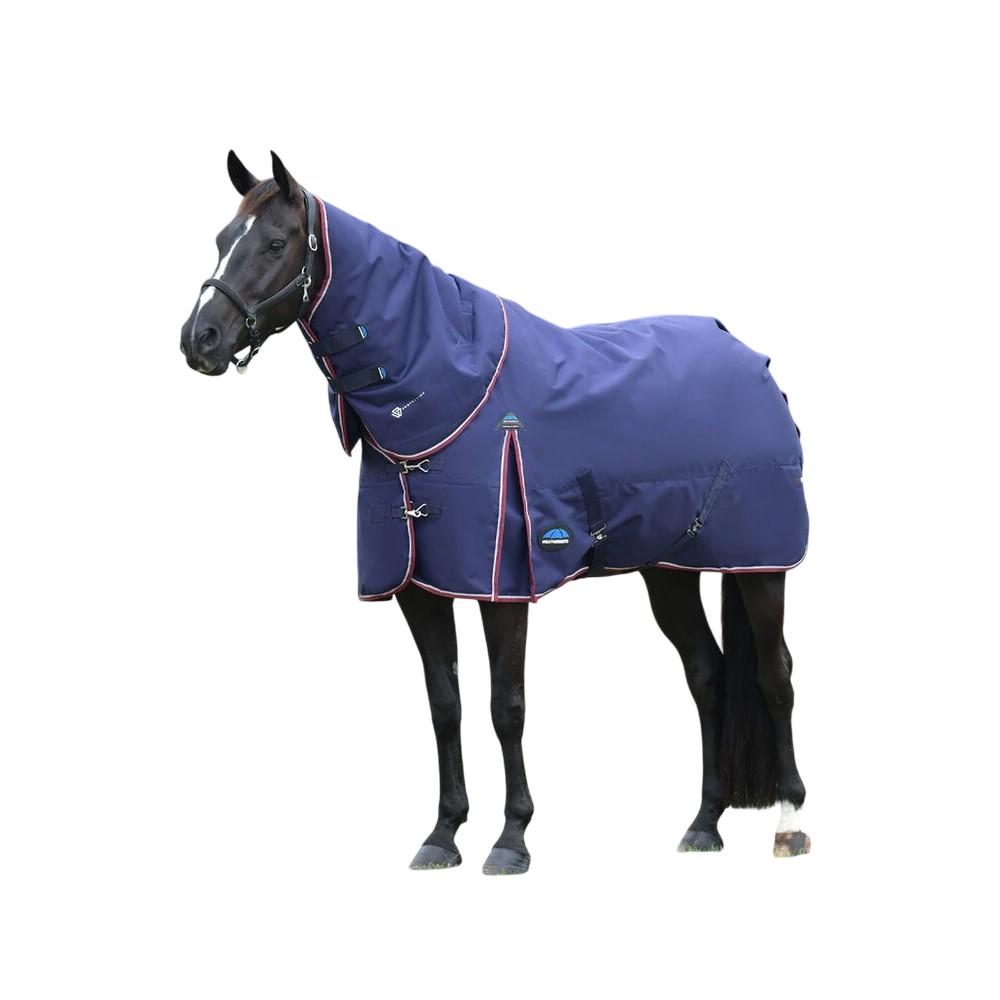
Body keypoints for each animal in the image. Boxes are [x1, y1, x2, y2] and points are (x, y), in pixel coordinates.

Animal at [179, 150, 811, 873]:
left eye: (276, 243)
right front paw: (443, 833)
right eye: (222, 241)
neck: (448, 395)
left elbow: (505, 705)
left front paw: (512, 839)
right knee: (708, 675)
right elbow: (445, 705)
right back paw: (703, 824)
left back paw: (790, 822)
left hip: (760, 564)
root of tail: (752, 360)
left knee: (774, 675)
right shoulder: (419, 587)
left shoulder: (501, 584)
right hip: (669, 570)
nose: (199, 339)